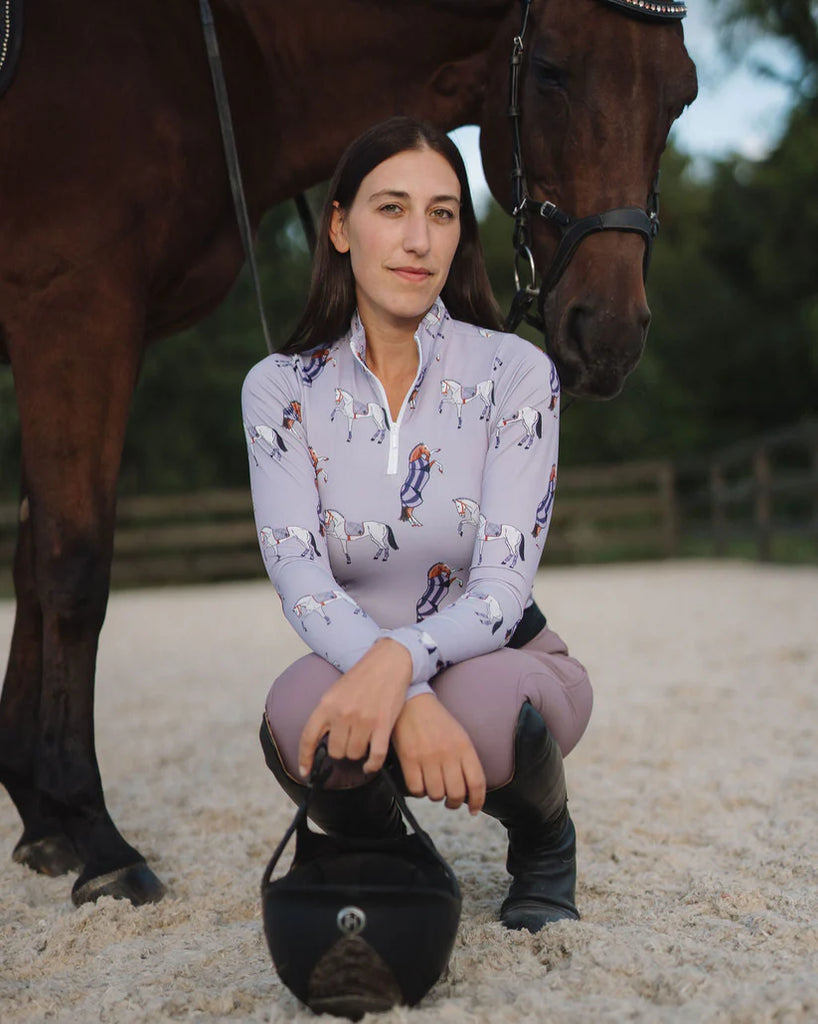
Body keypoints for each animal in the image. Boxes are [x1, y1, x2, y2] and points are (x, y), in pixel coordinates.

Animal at [0, 0, 697, 906]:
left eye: (682, 97)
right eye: (550, 69)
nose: (609, 335)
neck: (205, 55)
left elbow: (33, 568)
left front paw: (43, 821)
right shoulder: (74, 310)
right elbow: (73, 571)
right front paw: (94, 835)